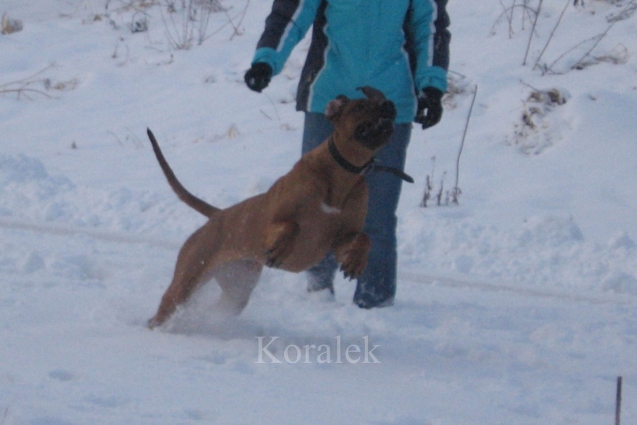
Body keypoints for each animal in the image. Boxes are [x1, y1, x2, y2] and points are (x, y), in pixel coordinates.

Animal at [147, 84, 396, 326]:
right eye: (361, 106)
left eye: (382, 101)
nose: (389, 104)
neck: (343, 175)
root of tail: (218, 214)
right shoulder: (271, 222)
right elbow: (291, 225)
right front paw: (281, 248)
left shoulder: (339, 239)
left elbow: (363, 238)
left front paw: (356, 262)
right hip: (188, 276)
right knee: (165, 307)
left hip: (238, 284)